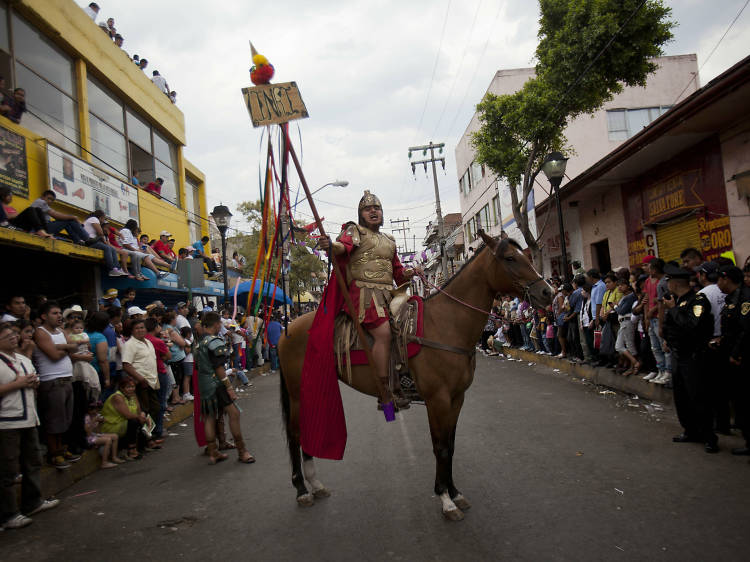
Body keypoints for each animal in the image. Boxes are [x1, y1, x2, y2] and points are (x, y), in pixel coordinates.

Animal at [280, 230, 556, 520]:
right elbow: (440, 446)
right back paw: (302, 490)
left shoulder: (456, 399)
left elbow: (450, 445)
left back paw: (315, 484)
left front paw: (454, 492)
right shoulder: (437, 400)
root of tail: (288, 329)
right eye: (510, 258)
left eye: (525, 255)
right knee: (295, 435)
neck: (446, 324)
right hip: (297, 394)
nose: (547, 292)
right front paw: (445, 499)